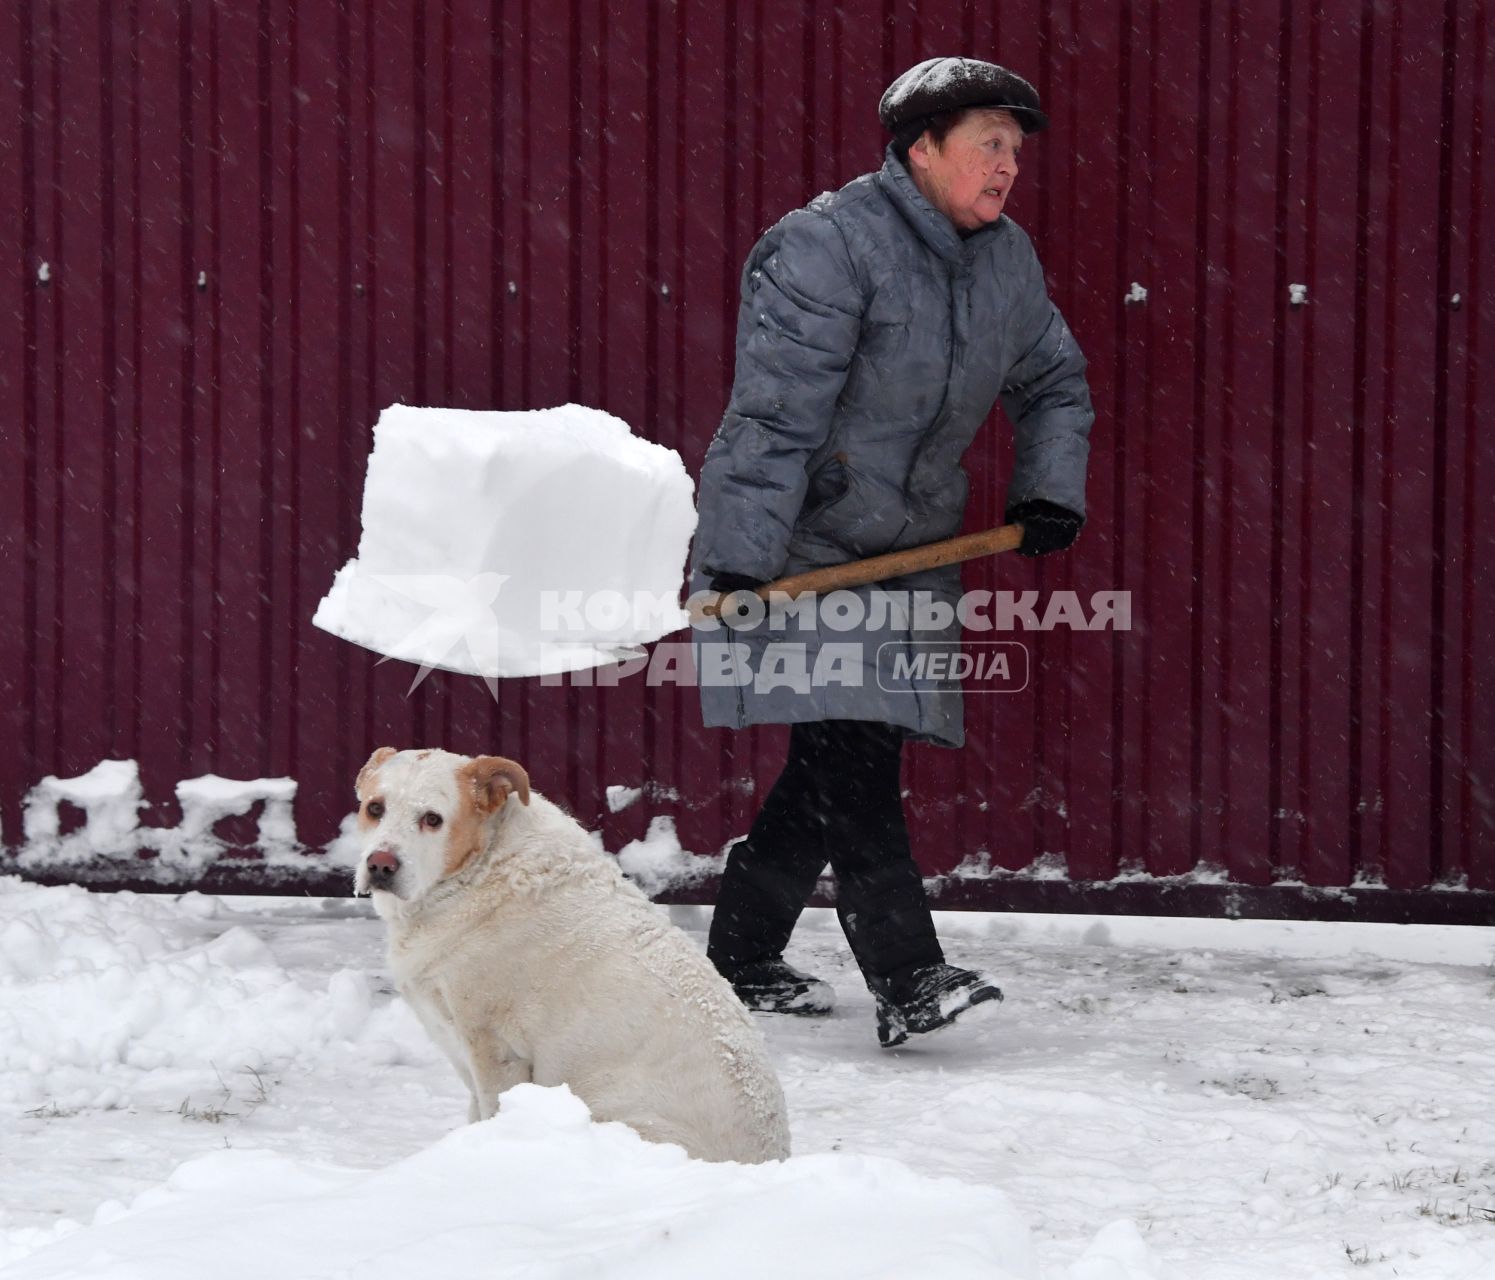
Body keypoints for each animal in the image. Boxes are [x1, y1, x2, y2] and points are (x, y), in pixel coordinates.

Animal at [351, 744, 795, 1166]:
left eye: (432, 819)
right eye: (374, 808)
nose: (381, 864)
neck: (479, 869)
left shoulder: (496, 1052)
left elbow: (492, 1111)